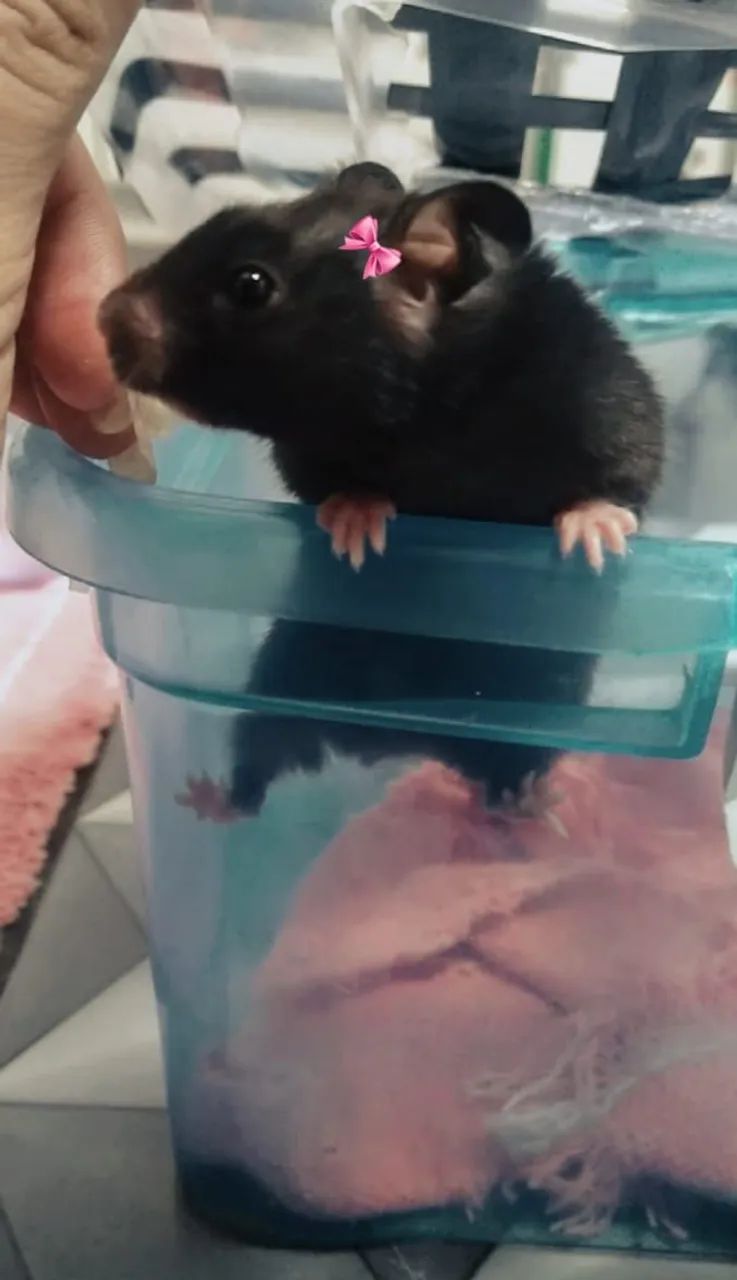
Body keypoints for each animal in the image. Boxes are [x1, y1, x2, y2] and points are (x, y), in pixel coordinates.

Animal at [100, 163, 664, 819]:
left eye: (251, 285)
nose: (103, 315)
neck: (424, 417)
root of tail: (399, 743)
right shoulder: (306, 454)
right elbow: (331, 489)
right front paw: (358, 530)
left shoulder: (611, 401)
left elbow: (623, 473)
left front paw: (593, 539)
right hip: (279, 681)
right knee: (256, 766)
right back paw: (205, 798)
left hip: (533, 718)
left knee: (505, 776)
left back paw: (532, 810)